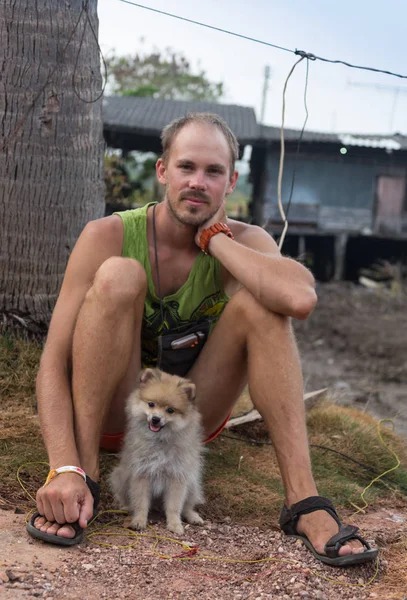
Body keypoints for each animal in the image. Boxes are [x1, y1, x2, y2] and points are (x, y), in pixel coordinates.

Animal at [110, 370, 206, 536]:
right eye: (151, 404)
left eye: (170, 410)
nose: (155, 419)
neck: (159, 440)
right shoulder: (141, 473)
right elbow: (141, 503)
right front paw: (139, 520)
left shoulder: (177, 476)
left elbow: (174, 506)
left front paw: (175, 524)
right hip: (121, 477)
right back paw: (126, 507)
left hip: (192, 483)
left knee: (187, 506)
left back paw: (193, 516)